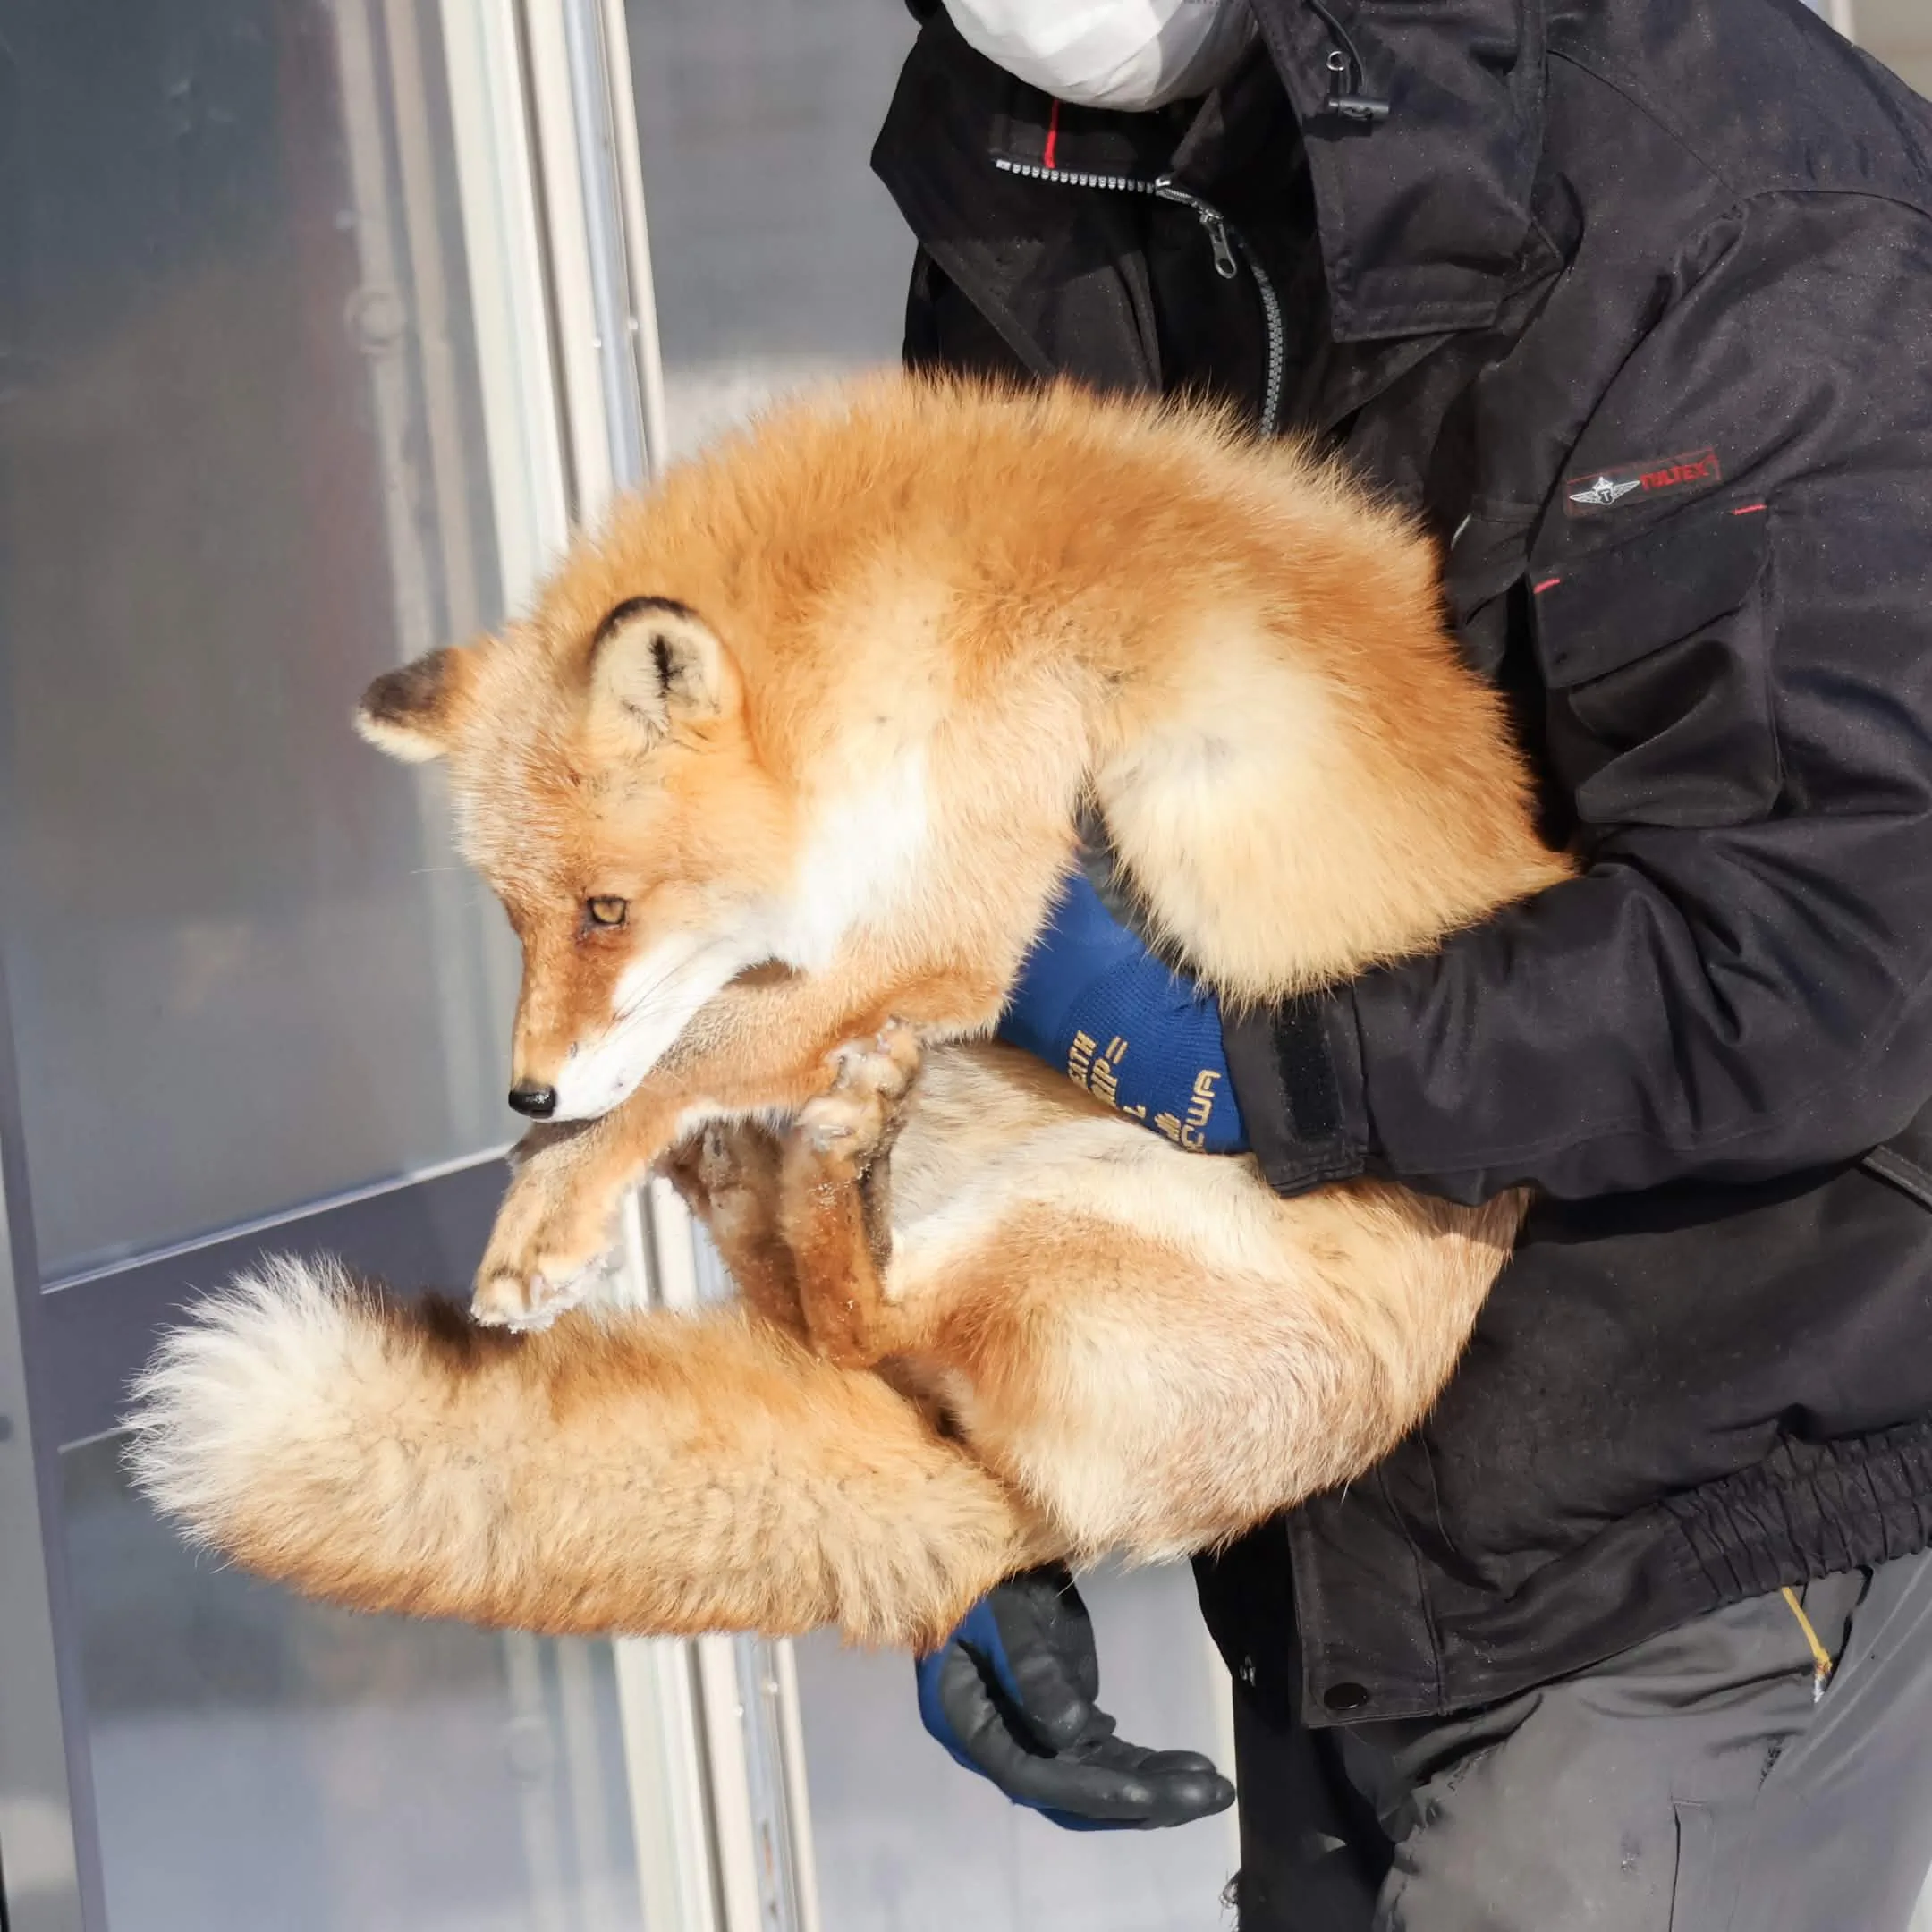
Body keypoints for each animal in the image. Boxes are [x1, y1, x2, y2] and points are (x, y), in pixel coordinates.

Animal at [128, 373, 1572, 1649]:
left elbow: (689, 1054)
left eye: (606, 909)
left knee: (861, 1325)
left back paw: (823, 1181)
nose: (522, 1091)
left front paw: (554, 1200)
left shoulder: (973, 919)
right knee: (830, 1332)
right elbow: (700, 1049)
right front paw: (562, 1171)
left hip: (1057, 1222)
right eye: (515, 918)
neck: (911, 630)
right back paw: (788, 1181)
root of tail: (1052, 1513)